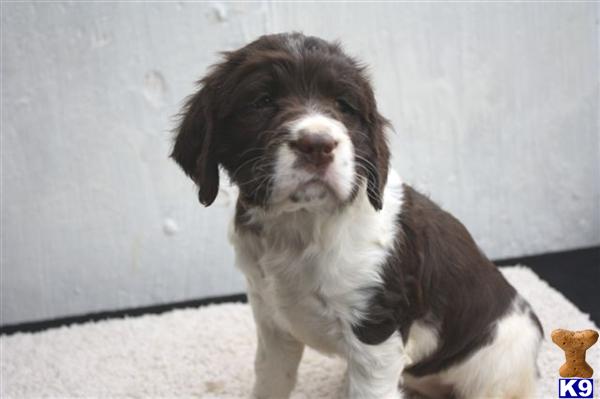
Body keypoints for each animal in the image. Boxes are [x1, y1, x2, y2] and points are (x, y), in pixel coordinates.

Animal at [170, 33, 544, 399]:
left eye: (344, 106)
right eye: (261, 101)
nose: (317, 145)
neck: (303, 225)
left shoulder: (375, 336)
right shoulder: (272, 323)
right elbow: (271, 382)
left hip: (498, 370)